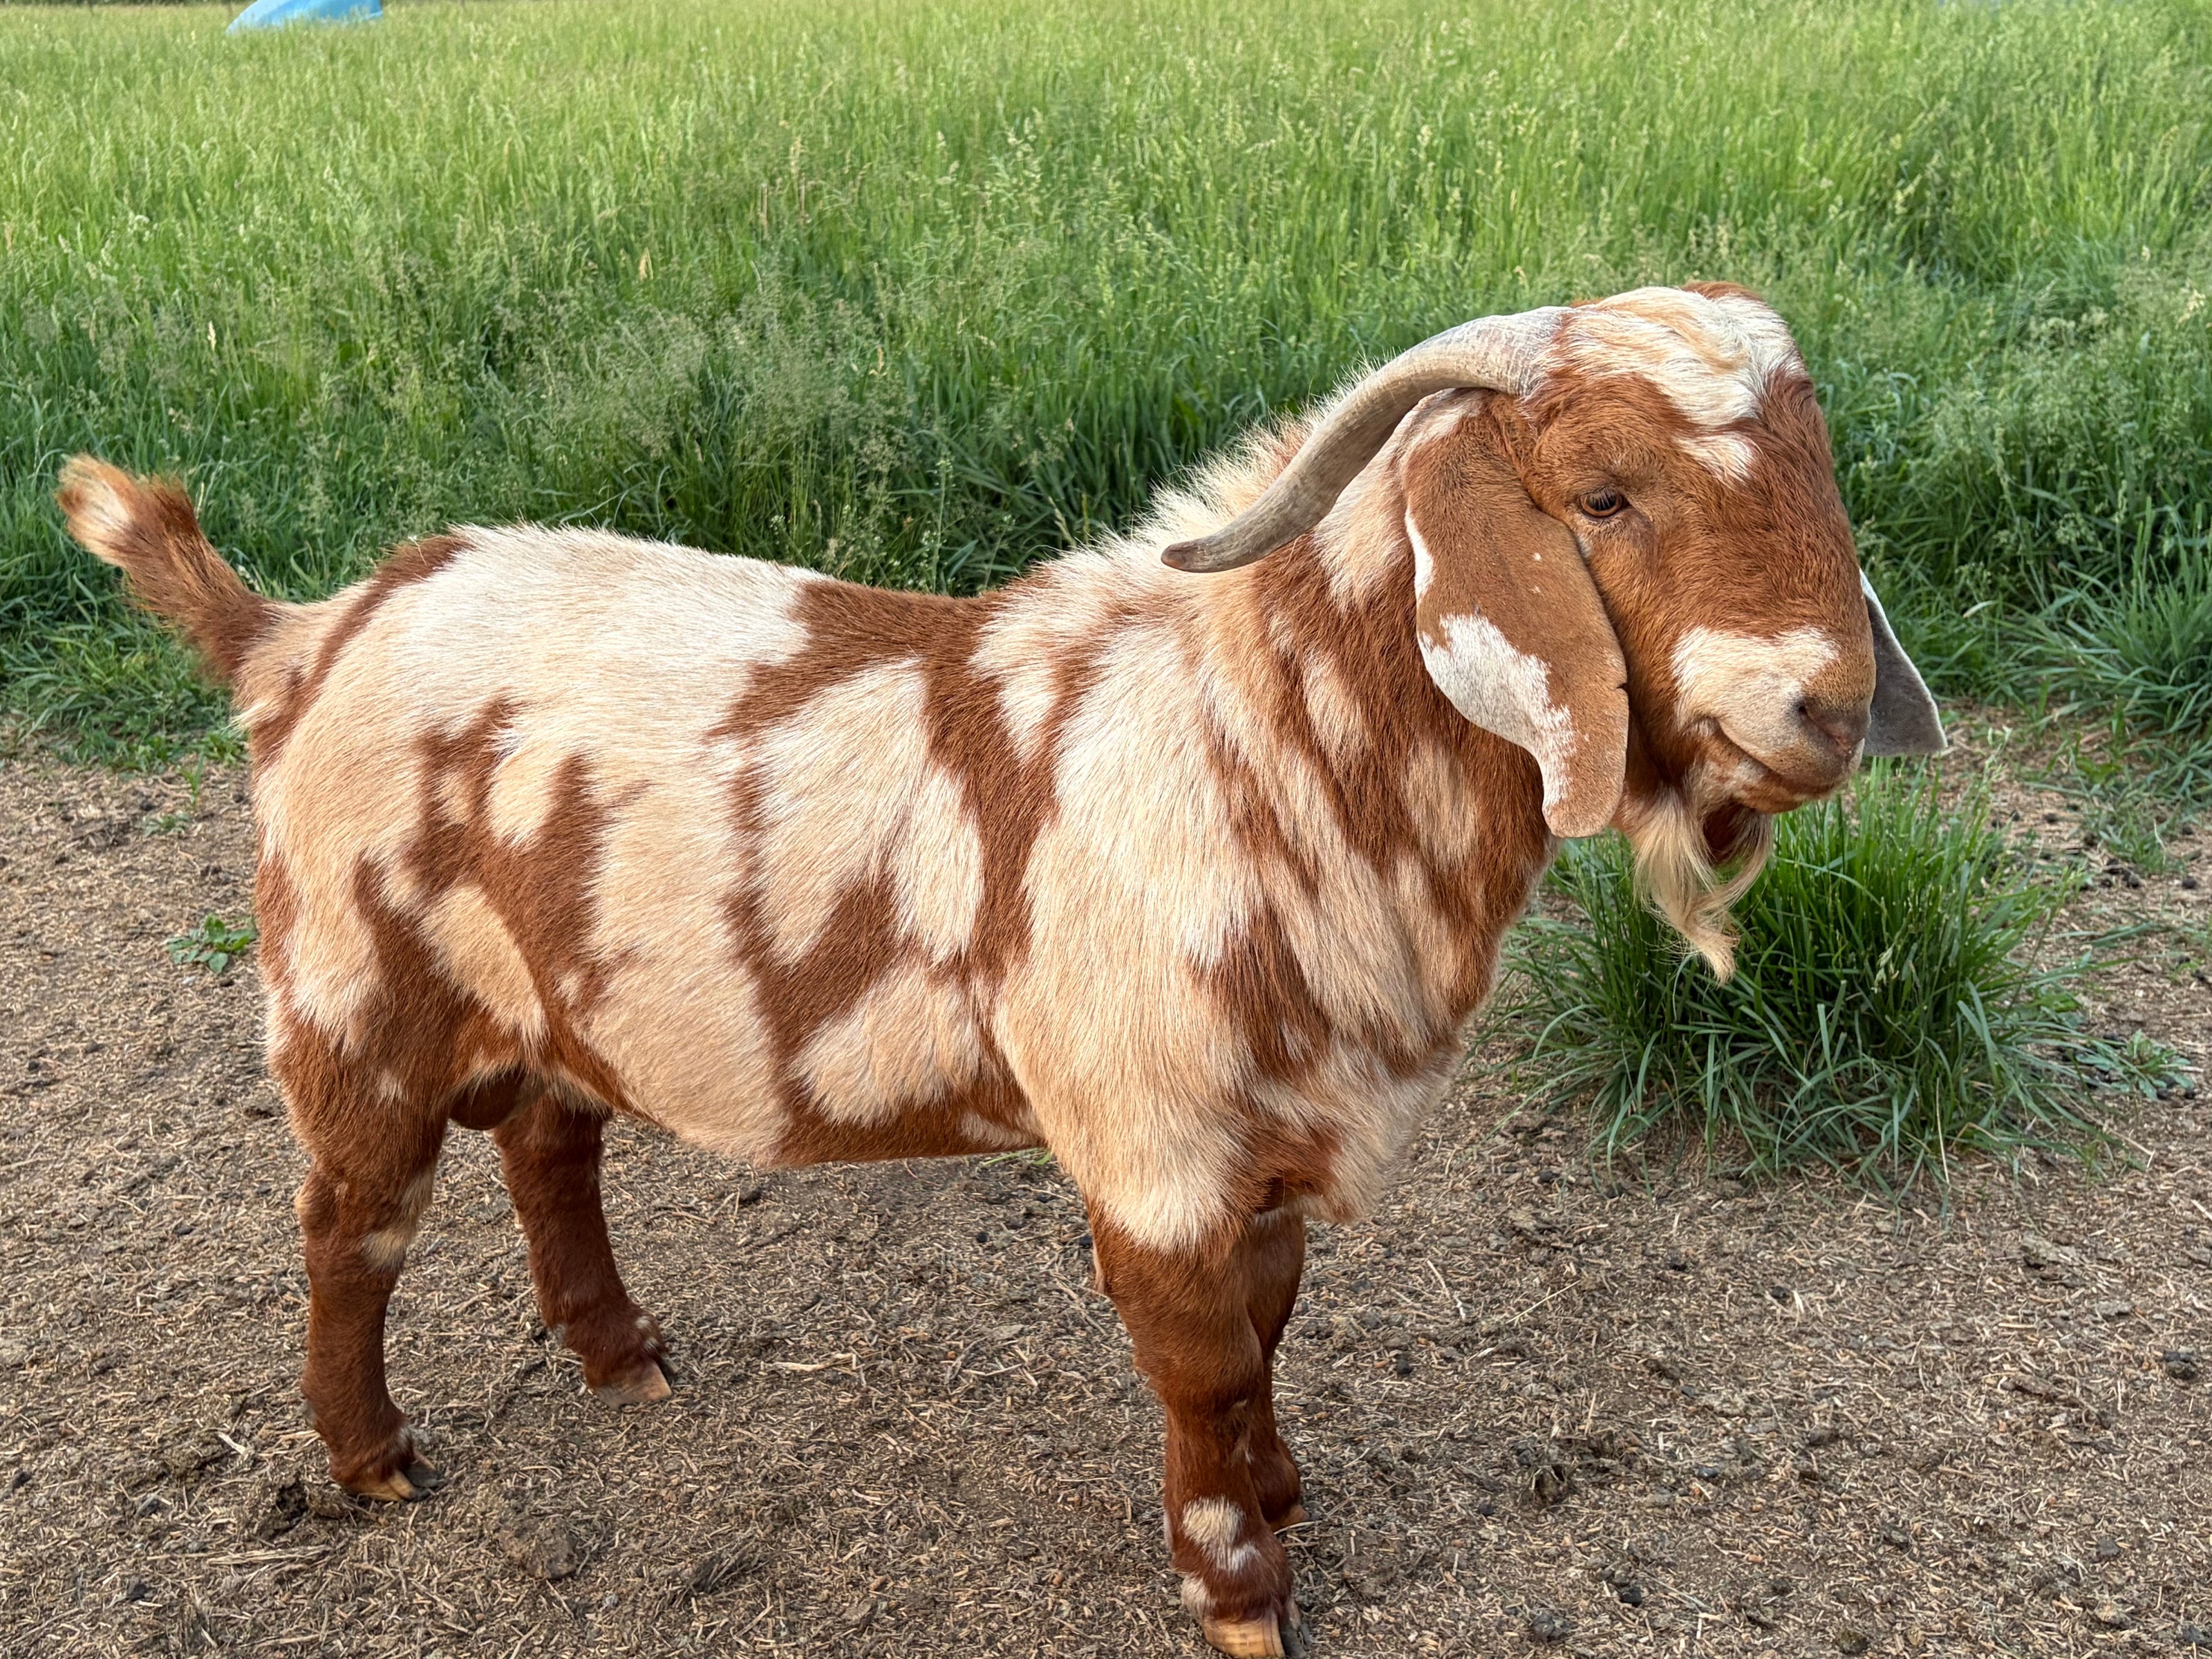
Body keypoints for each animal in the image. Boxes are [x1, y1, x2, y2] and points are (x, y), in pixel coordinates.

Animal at [60, 281, 1941, 1657]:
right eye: (1604, 494)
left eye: (1820, 475)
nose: (1829, 706)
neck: (1249, 739)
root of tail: (299, 637)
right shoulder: (1155, 1145)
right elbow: (1200, 1364)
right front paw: (1239, 1593)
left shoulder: (1260, 1135)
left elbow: (1271, 1321)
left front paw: (1286, 1491)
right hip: (352, 990)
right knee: (351, 1223)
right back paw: (371, 1458)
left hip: (545, 995)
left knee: (548, 1141)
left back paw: (620, 1355)